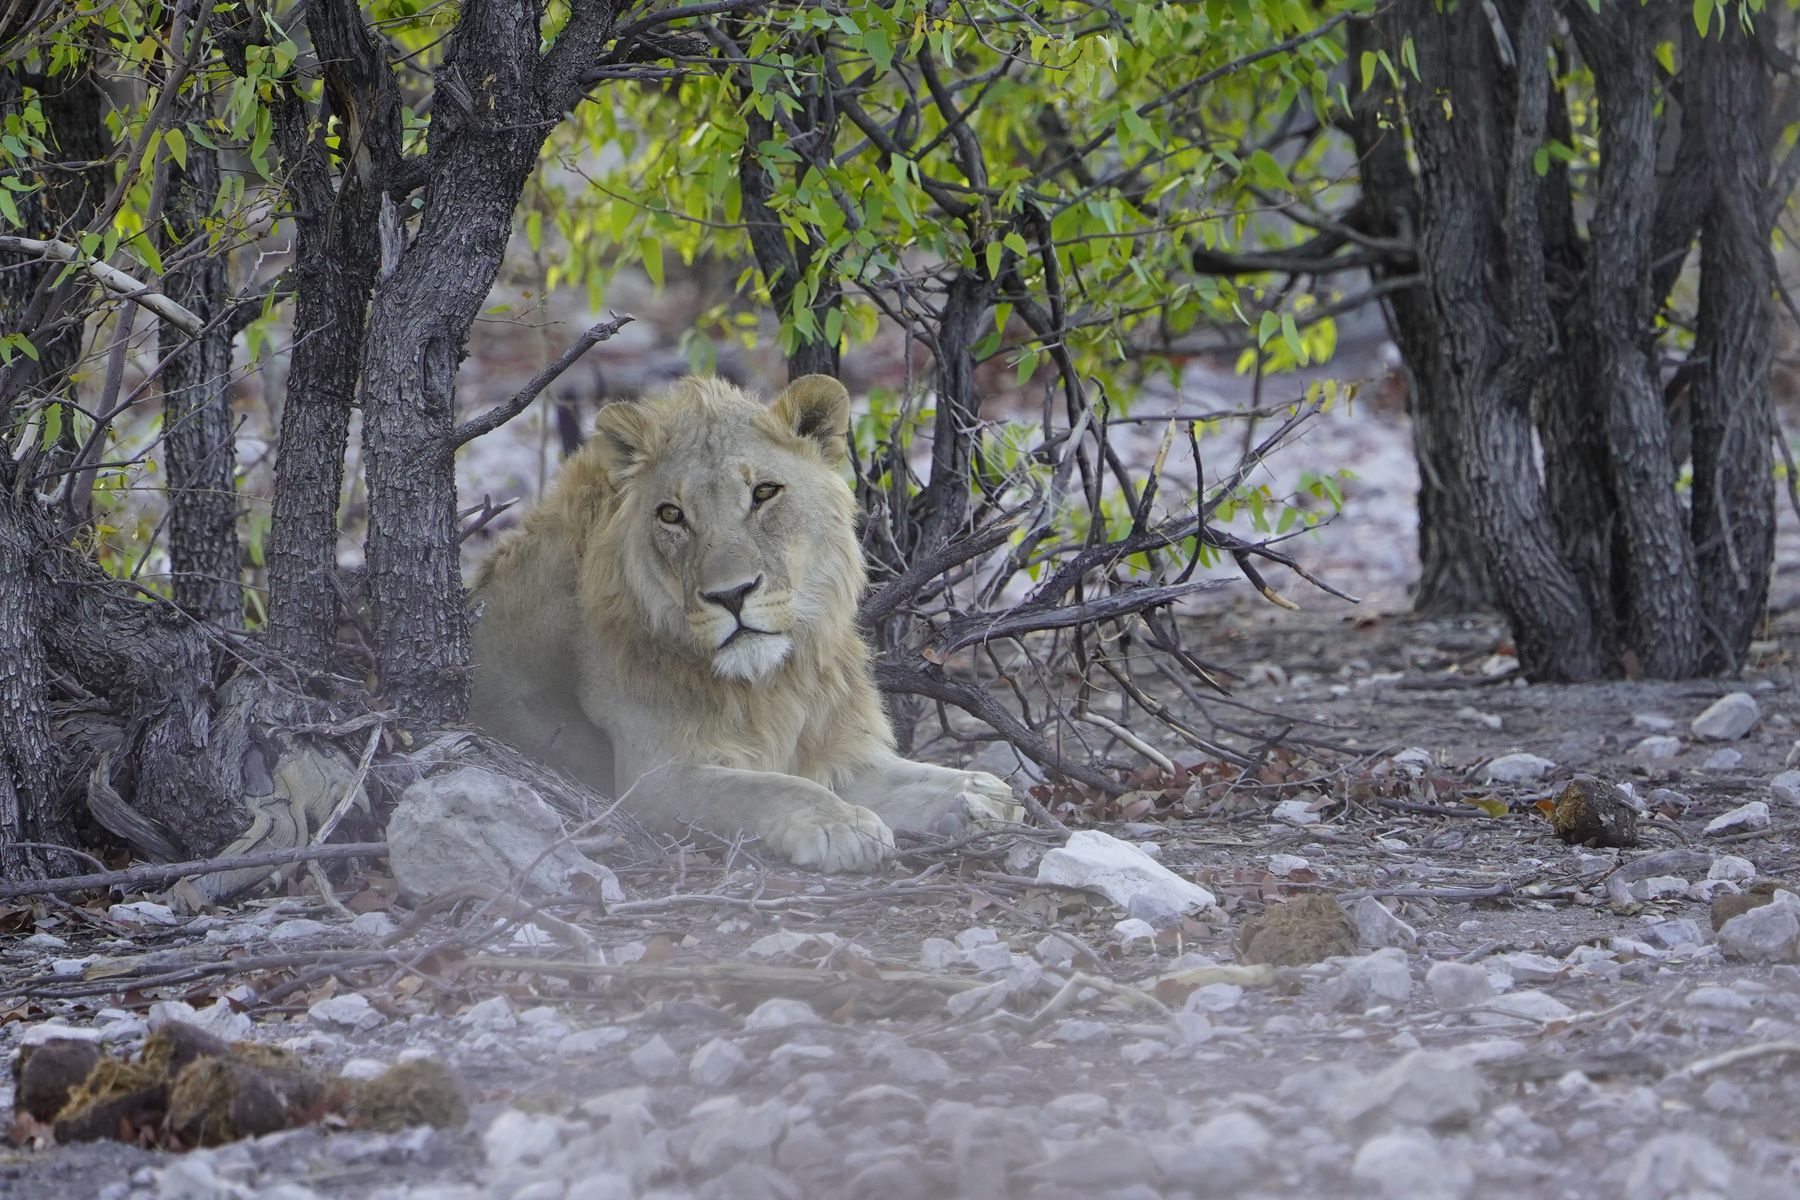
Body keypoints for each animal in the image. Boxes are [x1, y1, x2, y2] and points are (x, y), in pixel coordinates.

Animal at [468, 374, 1021, 871]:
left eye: (765, 492)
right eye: (671, 514)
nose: (731, 595)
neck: (772, 685)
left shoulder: (833, 748)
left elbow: (910, 778)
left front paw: (981, 792)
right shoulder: (653, 780)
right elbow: (770, 787)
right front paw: (840, 825)